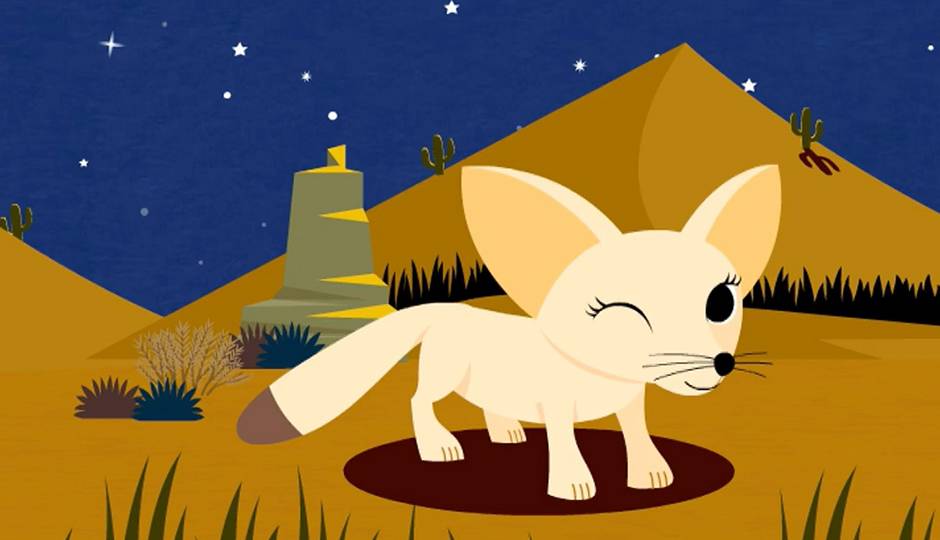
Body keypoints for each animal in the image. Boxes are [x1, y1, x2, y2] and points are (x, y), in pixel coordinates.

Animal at [237, 164, 782, 501]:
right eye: (621, 314)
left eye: (721, 302)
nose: (720, 364)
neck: (600, 373)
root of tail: (440, 309)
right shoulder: (558, 405)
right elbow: (565, 441)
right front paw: (574, 486)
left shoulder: (630, 401)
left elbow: (636, 432)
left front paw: (652, 474)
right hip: (444, 372)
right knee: (418, 400)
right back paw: (439, 447)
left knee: (488, 402)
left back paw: (507, 433)